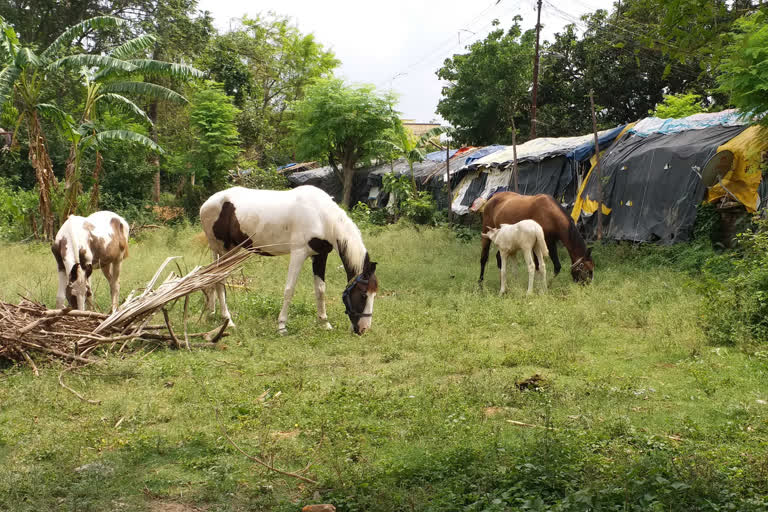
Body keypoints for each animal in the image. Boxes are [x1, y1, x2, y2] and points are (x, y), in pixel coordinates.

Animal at [198, 186, 378, 334]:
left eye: (374, 294)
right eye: (363, 295)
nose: (363, 329)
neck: (321, 216)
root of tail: (206, 204)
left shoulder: (320, 255)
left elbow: (320, 290)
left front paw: (325, 324)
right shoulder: (298, 253)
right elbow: (289, 289)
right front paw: (282, 326)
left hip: (229, 250)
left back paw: (212, 312)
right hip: (224, 250)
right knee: (219, 280)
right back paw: (228, 321)